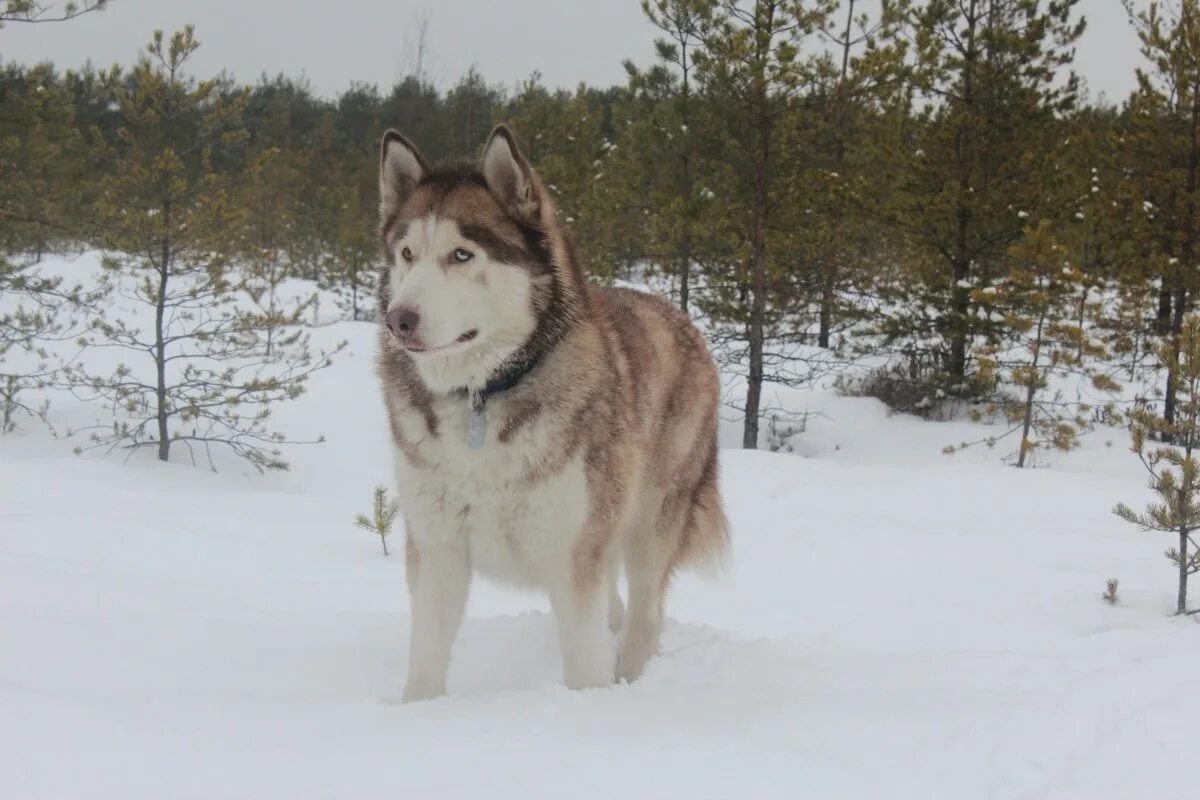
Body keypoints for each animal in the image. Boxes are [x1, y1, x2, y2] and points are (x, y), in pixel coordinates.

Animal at [379, 125, 724, 700]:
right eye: (407, 253)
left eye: (461, 254)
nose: (397, 319)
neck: (482, 396)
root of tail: (678, 316)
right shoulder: (438, 549)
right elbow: (425, 663)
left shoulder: (571, 555)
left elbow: (585, 668)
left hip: (651, 523)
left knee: (645, 614)